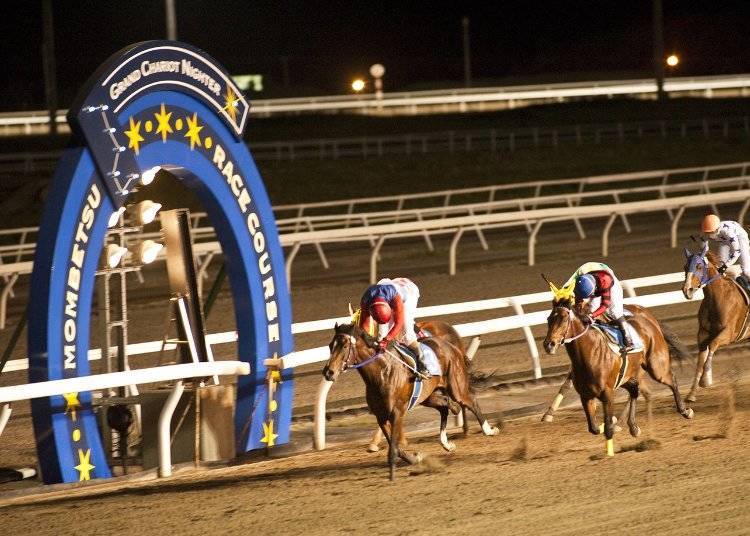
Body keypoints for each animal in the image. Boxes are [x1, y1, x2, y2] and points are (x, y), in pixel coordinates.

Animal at [324, 320, 500, 480]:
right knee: (445, 406)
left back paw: (488, 430)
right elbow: (396, 448)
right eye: (330, 345)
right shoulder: (381, 416)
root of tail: (451, 346)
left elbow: (394, 448)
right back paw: (447, 442)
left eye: (345, 346)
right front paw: (415, 458)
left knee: (471, 401)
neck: (382, 373)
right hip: (428, 396)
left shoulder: (397, 412)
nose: (328, 372)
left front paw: (393, 475)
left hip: (456, 387)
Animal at [544, 300, 696, 450]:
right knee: (635, 390)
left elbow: (607, 429)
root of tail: (650, 322)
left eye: (564, 319)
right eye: (549, 319)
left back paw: (685, 411)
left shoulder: (607, 393)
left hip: (656, 368)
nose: (549, 344)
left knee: (672, 380)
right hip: (627, 377)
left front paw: (612, 428)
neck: (588, 354)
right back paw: (633, 427)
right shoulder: (585, 396)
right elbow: (593, 428)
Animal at [680, 243, 750, 402]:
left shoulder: (729, 334)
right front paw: (691, 394)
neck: (717, 298)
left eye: (699, 266)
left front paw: (705, 380)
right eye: (685, 267)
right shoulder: (703, 333)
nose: (687, 290)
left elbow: (712, 345)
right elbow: (700, 360)